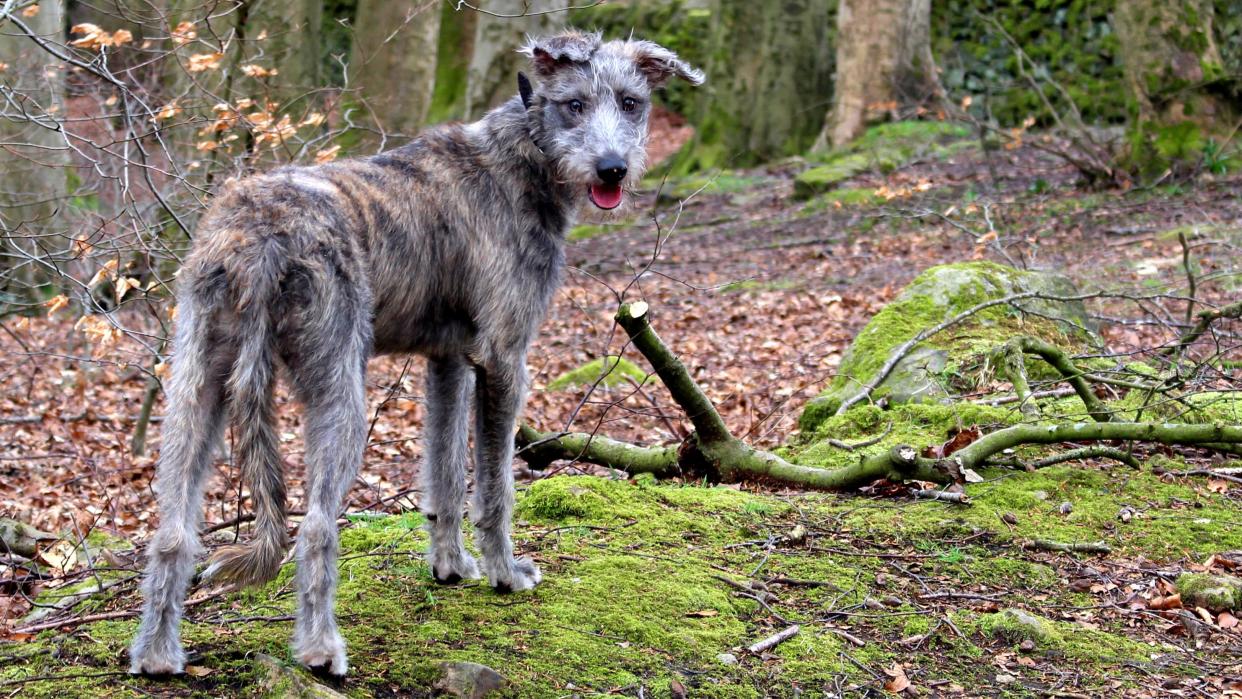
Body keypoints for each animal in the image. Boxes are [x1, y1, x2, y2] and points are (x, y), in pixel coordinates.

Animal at [131, 31, 705, 680]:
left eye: (631, 103)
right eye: (575, 104)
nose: (613, 168)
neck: (523, 155)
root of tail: (263, 233)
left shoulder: (449, 359)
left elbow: (445, 474)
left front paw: (450, 566)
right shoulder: (504, 358)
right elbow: (495, 487)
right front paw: (505, 572)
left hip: (195, 385)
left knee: (173, 530)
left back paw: (156, 653)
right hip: (341, 397)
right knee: (316, 528)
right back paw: (319, 647)